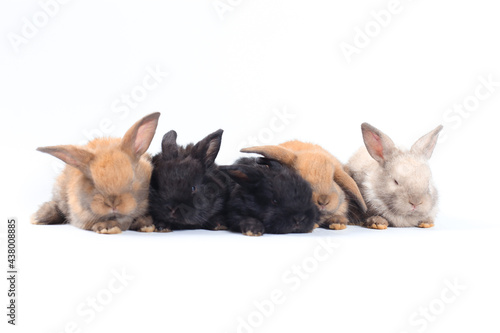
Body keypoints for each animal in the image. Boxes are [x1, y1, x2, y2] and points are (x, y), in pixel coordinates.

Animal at [31, 113, 160, 232]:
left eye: (132, 179)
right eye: (92, 183)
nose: (113, 204)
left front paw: (107, 227)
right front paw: (106, 228)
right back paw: (39, 217)